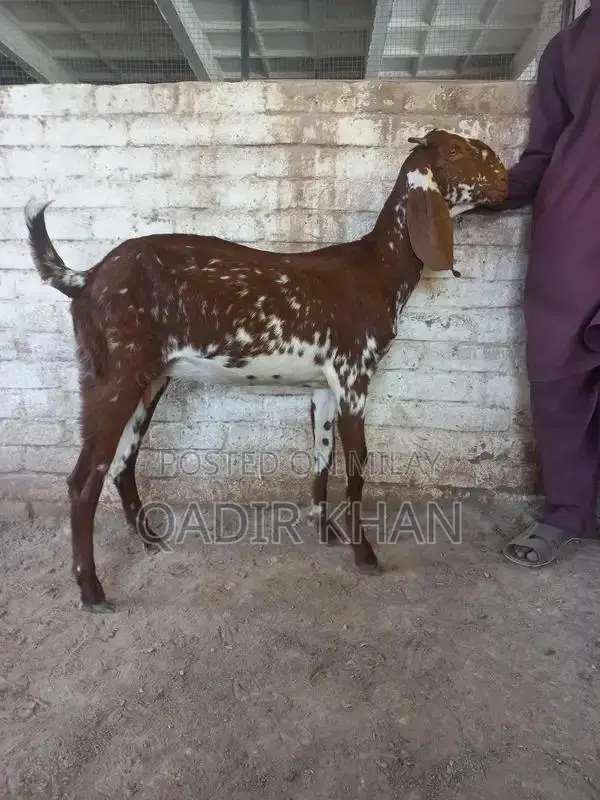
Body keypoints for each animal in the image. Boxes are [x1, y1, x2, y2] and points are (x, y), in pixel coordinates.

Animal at [25, 128, 508, 612]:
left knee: (124, 462)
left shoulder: (324, 385)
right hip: (113, 376)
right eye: (456, 150)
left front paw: (325, 528)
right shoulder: (354, 376)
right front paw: (365, 554)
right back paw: (92, 590)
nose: (505, 177)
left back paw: (150, 540)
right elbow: (357, 466)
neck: (377, 269)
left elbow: (323, 454)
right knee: (84, 480)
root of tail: (85, 278)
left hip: (150, 379)